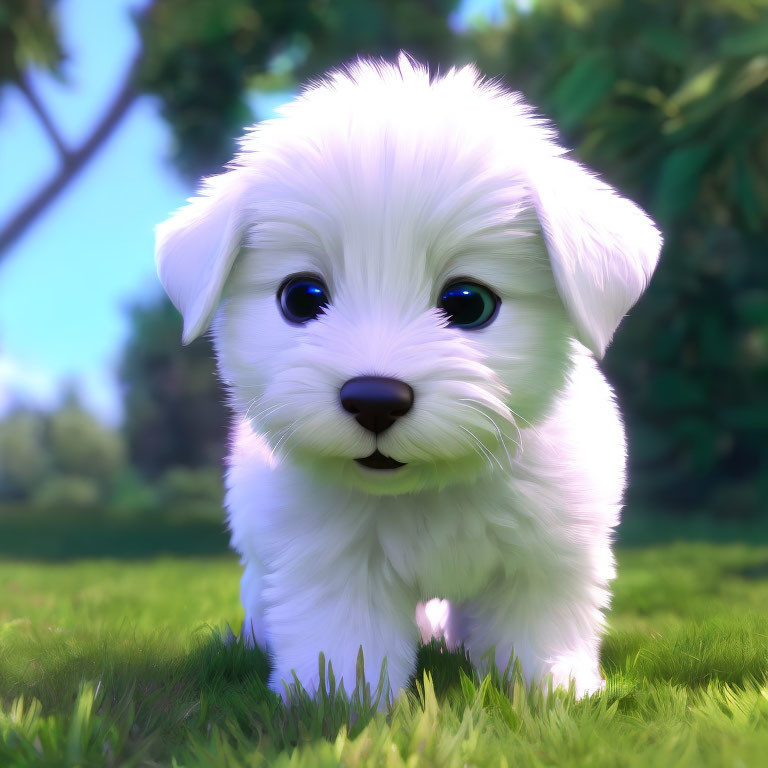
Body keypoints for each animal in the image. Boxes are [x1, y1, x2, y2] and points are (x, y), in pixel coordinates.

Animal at [154, 54, 660, 704]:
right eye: (302, 297)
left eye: (469, 303)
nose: (374, 399)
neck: (429, 486)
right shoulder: (329, 558)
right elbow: (344, 640)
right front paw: (336, 699)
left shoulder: (550, 550)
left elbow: (539, 625)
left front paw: (558, 689)